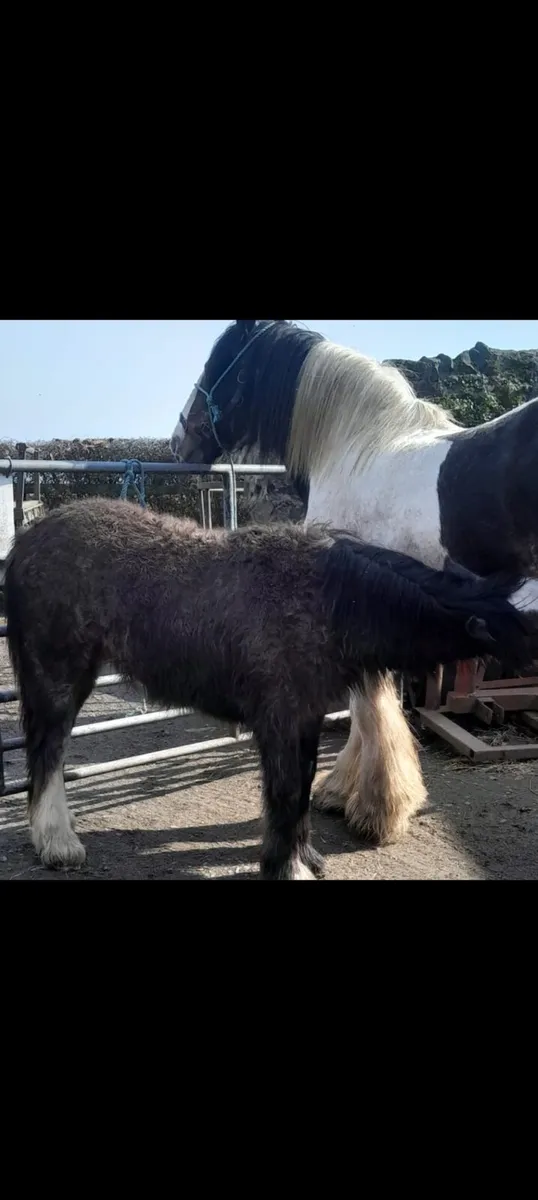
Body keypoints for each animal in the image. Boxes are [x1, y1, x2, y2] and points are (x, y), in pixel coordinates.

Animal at [5, 498, 537, 879]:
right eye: (528, 629)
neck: (330, 599)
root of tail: (28, 540)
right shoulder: (281, 721)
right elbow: (284, 793)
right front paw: (288, 868)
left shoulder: (306, 721)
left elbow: (300, 789)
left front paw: (305, 857)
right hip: (59, 679)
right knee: (47, 753)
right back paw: (59, 844)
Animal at [171, 319, 538, 845]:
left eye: (215, 362)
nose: (177, 440)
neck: (357, 450)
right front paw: (347, 791)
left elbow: (367, 710)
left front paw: (376, 810)